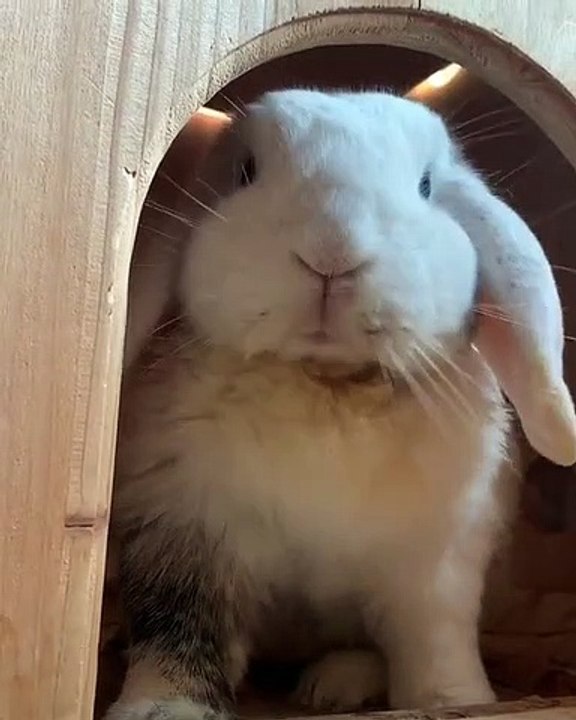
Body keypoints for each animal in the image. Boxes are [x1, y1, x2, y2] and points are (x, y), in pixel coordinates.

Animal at [107, 89, 576, 720]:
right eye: (245, 171)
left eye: (426, 186)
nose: (333, 251)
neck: (326, 382)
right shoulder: (185, 532)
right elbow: (181, 629)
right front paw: (162, 709)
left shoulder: (436, 566)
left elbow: (435, 644)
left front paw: (456, 701)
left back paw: (333, 685)